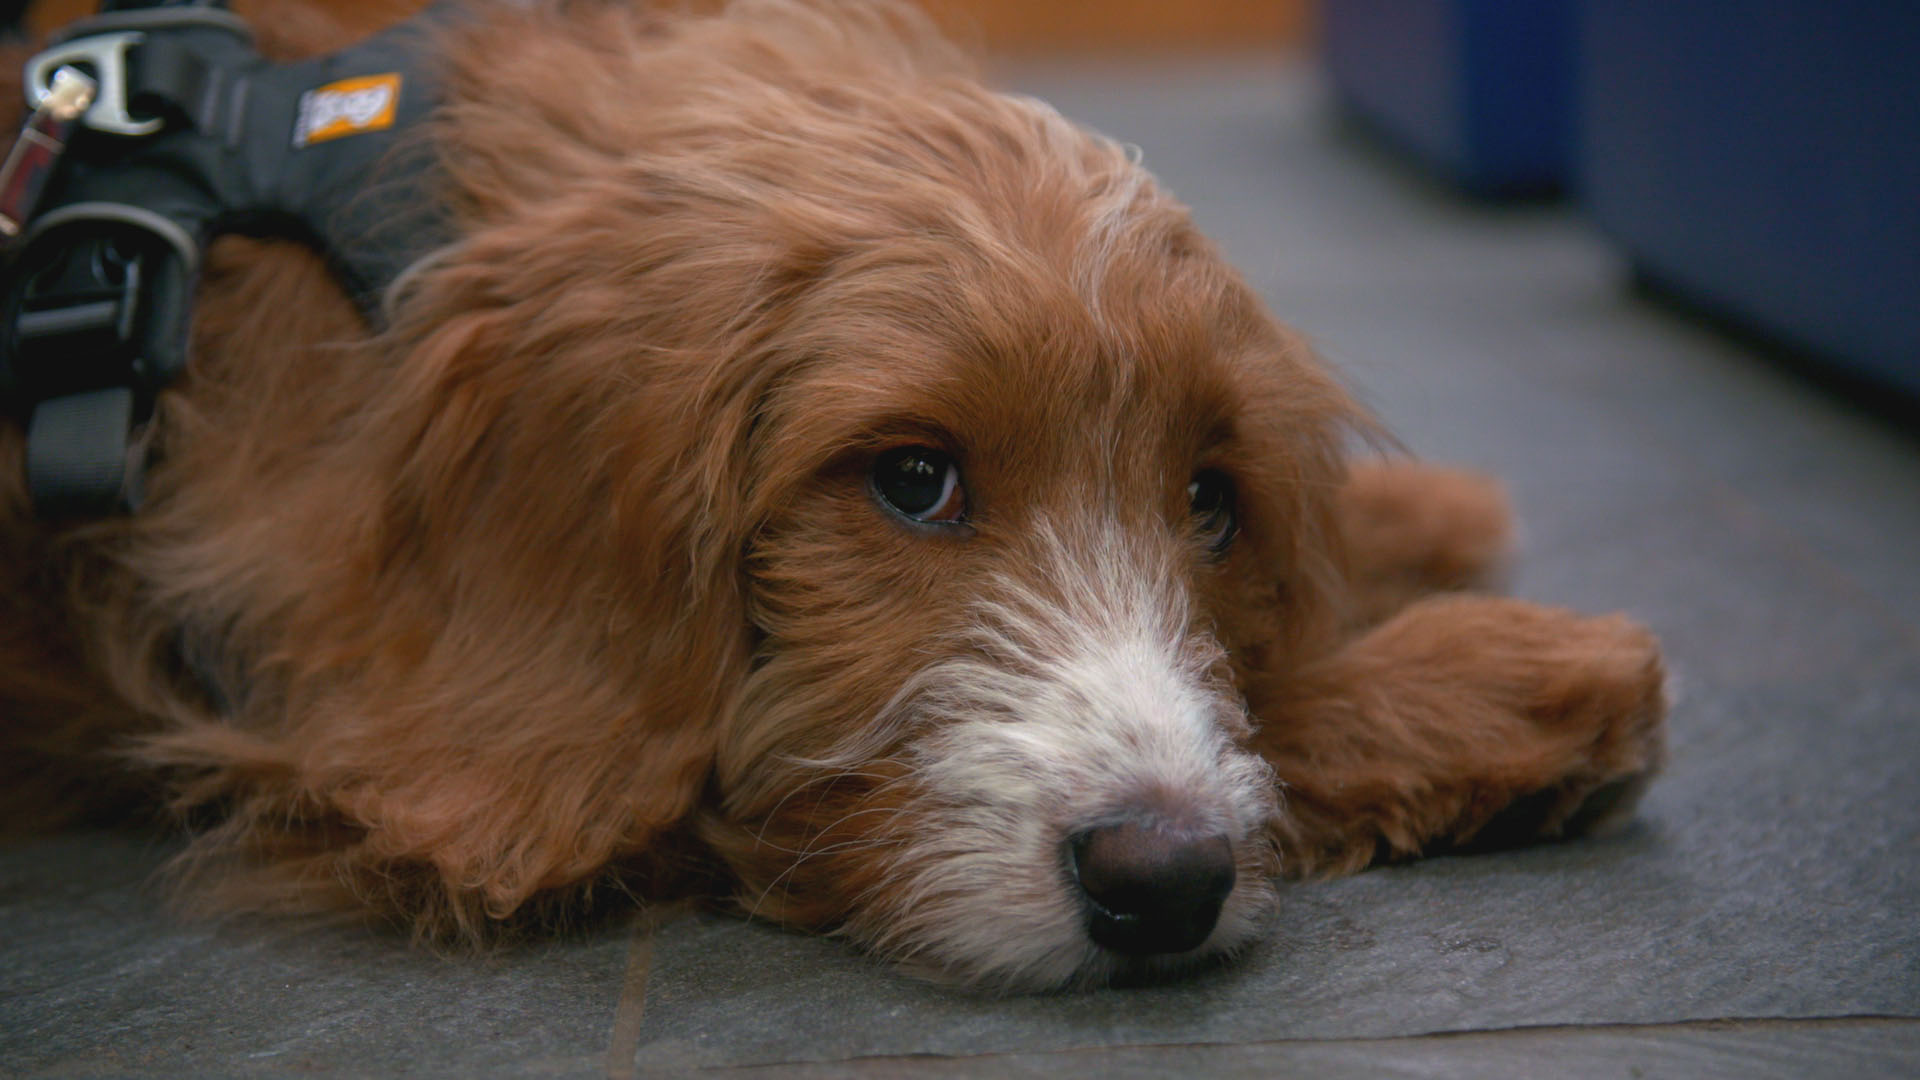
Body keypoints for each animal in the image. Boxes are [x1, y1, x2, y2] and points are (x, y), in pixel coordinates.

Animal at [0, 0, 1666, 991]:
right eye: (913, 482)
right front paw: (1508, 679)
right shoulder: (367, 748)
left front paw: (1416, 530)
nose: (1166, 880)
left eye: (1210, 501)